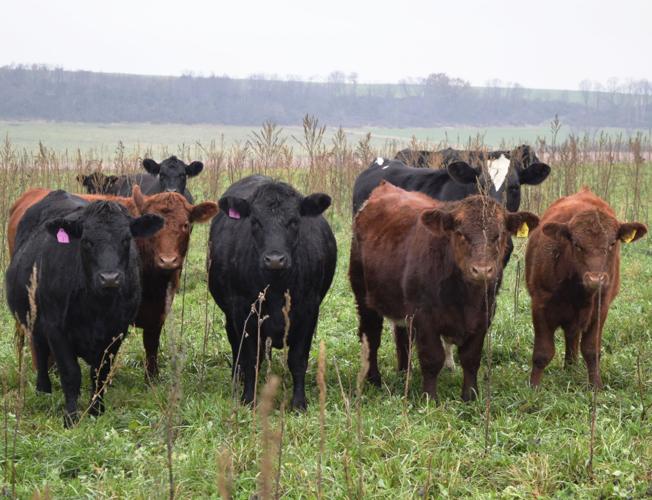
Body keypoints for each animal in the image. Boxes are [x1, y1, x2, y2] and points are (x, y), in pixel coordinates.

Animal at [5, 191, 164, 426]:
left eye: (126, 239)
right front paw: (71, 417)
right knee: (40, 352)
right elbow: (71, 373)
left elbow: (100, 373)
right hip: (33, 321)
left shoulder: (117, 331)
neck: (96, 307)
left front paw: (96, 410)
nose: (110, 278)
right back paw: (43, 390)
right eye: (87, 241)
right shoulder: (56, 329)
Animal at [7, 186, 219, 378]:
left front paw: (152, 378)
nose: (167, 260)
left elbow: (151, 344)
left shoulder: (159, 309)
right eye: (156, 229)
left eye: (185, 225)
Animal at [208, 175, 337, 410]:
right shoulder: (243, 312)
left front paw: (299, 402)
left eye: (294, 221)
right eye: (255, 222)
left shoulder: (308, 312)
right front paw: (248, 399)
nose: (275, 259)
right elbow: (250, 358)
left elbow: (298, 359)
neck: (276, 287)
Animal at [350, 181, 539, 400]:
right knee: (371, 337)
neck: (465, 297)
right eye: (460, 233)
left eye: (498, 235)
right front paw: (430, 398)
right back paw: (374, 379)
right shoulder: (424, 318)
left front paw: (470, 396)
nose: (482, 270)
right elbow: (432, 358)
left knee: (402, 337)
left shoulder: (484, 316)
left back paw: (405, 373)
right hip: (364, 297)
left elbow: (471, 358)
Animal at [526, 188, 647, 388]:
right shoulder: (540, 305)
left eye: (612, 244)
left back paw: (571, 366)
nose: (596, 279)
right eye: (577, 244)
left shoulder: (600, 309)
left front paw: (596, 385)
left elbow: (591, 350)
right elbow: (542, 352)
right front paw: (533, 387)